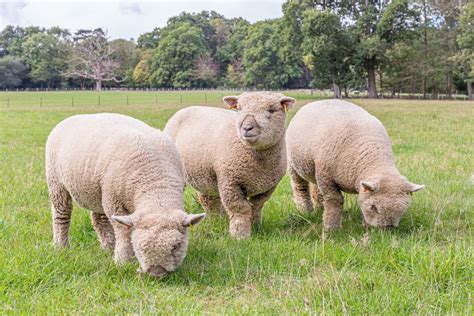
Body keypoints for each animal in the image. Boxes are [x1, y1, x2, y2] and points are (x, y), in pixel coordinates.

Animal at [45, 113, 206, 276]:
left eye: (176, 246)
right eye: (139, 246)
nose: (156, 273)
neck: (155, 185)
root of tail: (72, 117)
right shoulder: (114, 202)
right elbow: (123, 232)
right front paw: (123, 260)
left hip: (96, 190)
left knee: (99, 219)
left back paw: (108, 246)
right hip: (56, 182)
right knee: (61, 214)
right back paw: (61, 245)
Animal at [165, 92, 294, 238]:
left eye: (271, 110)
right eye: (239, 108)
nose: (247, 128)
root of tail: (187, 108)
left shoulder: (268, 187)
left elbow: (256, 206)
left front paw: (256, 227)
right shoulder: (230, 182)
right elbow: (240, 208)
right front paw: (240, 235)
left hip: (206, 174)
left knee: (208, 199)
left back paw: (216, 219)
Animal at [286, 100, 426, 231]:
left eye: (403, 209)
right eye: (374, 207)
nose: (386, 229)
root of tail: (315, 102)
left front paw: (365, 226)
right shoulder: (326, 178)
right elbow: (335, 200)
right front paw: (331, 227)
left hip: (315, 169)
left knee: (316, 188)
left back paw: (320, 207)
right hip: (293, 164)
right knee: (300, 187)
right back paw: (305, 210)